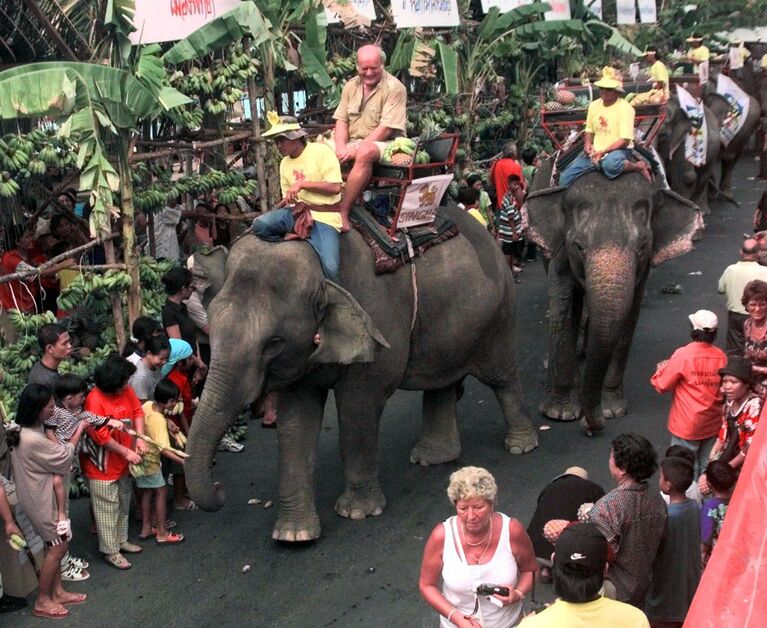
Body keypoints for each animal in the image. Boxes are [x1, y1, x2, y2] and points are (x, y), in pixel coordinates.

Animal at [184, 205, 540, 540]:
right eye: (210, 325)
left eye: (273, 343)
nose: (219, 489)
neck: (322, 268)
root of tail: (488, 234)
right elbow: (296, 421)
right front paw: (294, 535)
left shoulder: (376, 318)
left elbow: (359, 407)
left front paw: (358, 513)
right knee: (443, 380)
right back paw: (433, 458)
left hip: (498, 312)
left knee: (500, 376)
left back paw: (521, 446)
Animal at [528, 163, 704, 432]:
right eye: (578, 246)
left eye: (641, 246)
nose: (594, 425)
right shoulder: (560, 251)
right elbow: (564, 303)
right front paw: (559, 413)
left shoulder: (643, 267)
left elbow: (630, 311)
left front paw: (611, 410)